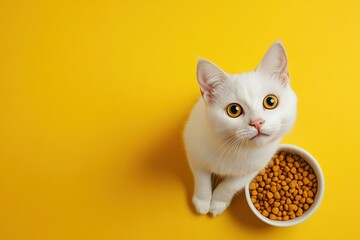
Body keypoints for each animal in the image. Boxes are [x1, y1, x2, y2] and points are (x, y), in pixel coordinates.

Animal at [184, 40, 296, 217]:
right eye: (234, 110)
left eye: (270, 101)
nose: (257, 122)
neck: (237, 149)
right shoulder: (193, 148)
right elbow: (201, 177)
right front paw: (202, 201)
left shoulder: (257, 166)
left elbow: (230, 185)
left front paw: (218, 203)